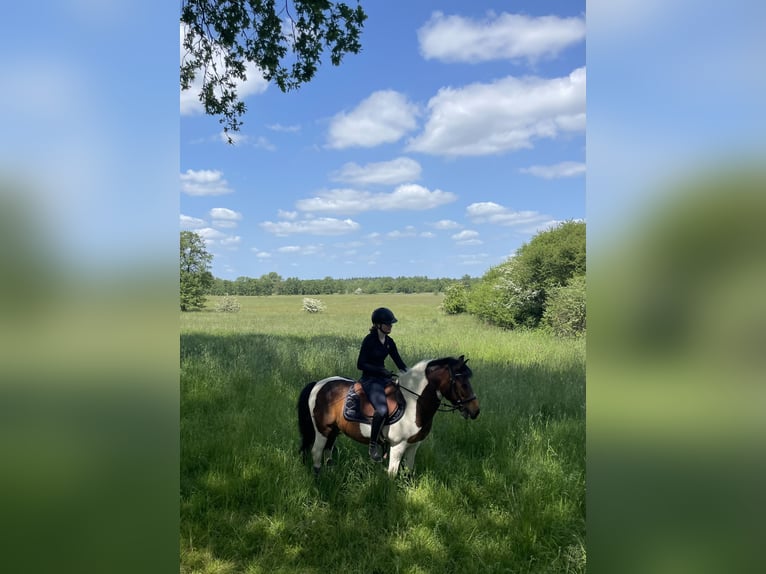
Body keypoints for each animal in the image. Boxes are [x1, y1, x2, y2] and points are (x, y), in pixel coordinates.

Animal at [298, 356, 480, 476]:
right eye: (463, 383)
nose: (475, 410)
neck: (414, 403)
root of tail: (319, 384)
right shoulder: (398, 445)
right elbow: (392, 474)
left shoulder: (414, 445)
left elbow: (409, 471)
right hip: (322, 430)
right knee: (316, 452)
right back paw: (319, 479)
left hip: (334, 431)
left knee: (327, 451)